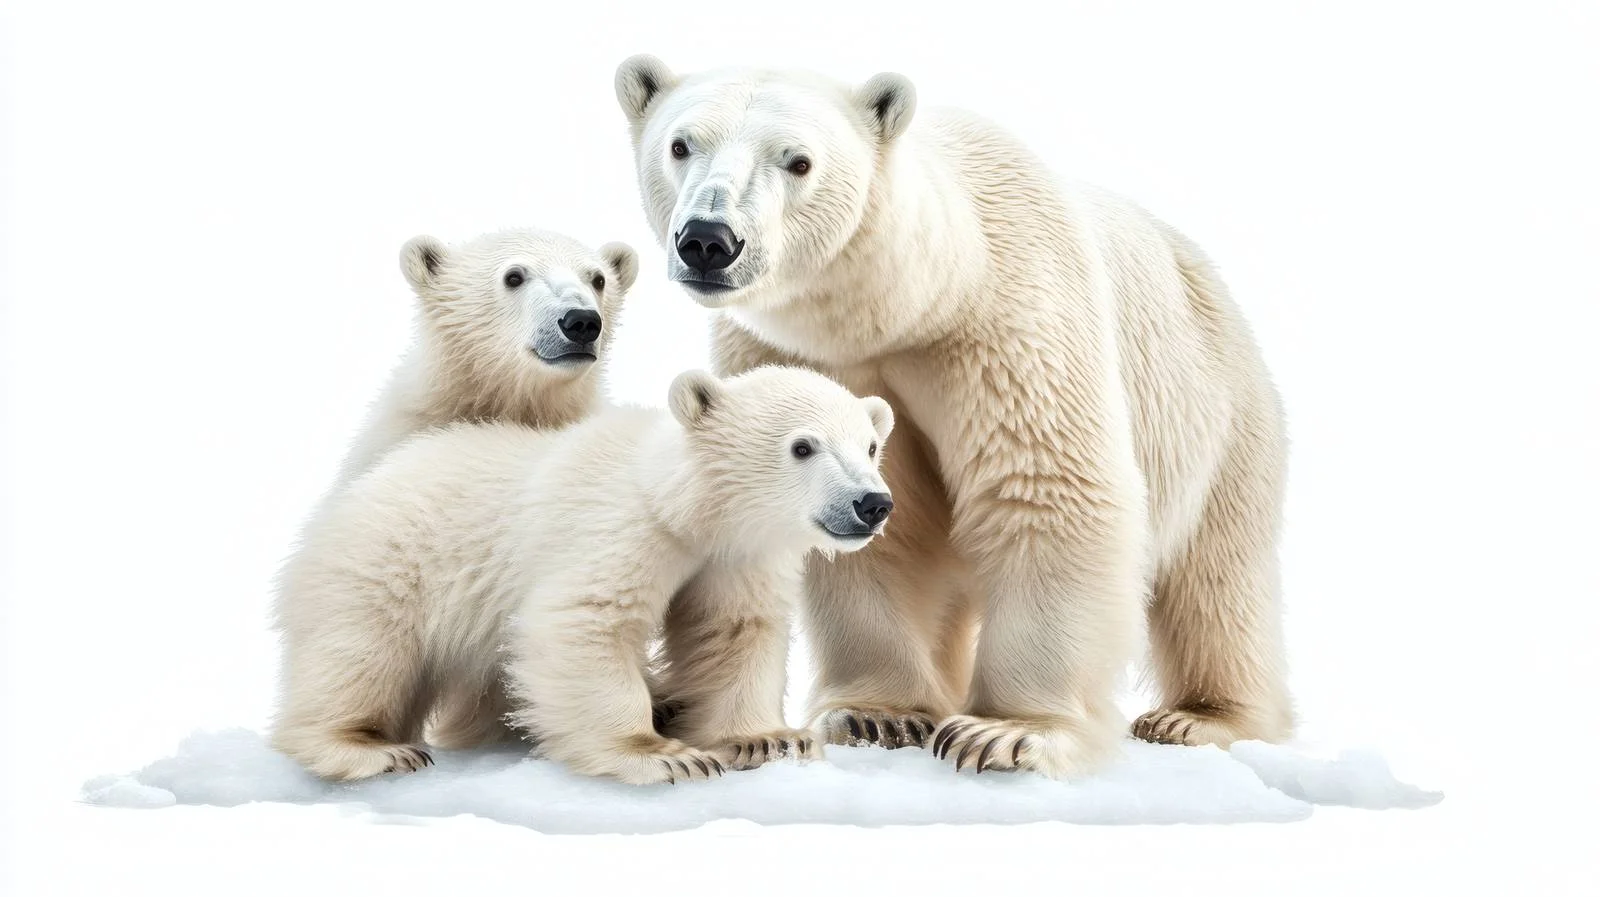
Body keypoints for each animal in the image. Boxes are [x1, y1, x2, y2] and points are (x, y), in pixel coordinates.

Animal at [267, 364, 898, 785]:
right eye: (803, 446)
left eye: (870, 445)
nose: (872, 503)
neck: (682, 507)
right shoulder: (620, 525)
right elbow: (587, 621)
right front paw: (661, 754)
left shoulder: (734, 556)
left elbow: (735, 630)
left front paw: (766, 740)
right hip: (388, 562)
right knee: (361, 652)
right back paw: (369, 748)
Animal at [613, 54, 1294, 780]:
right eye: (681, 145)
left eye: (798, 161)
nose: (708, 240)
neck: (919, 298)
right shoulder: (793, 356)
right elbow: (872, 523)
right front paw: (879, 715)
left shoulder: (1010, 321)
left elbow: (1046, 484)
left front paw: (1007, 733)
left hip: (1217, 406)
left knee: (1217, 578)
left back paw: (1197, 716)